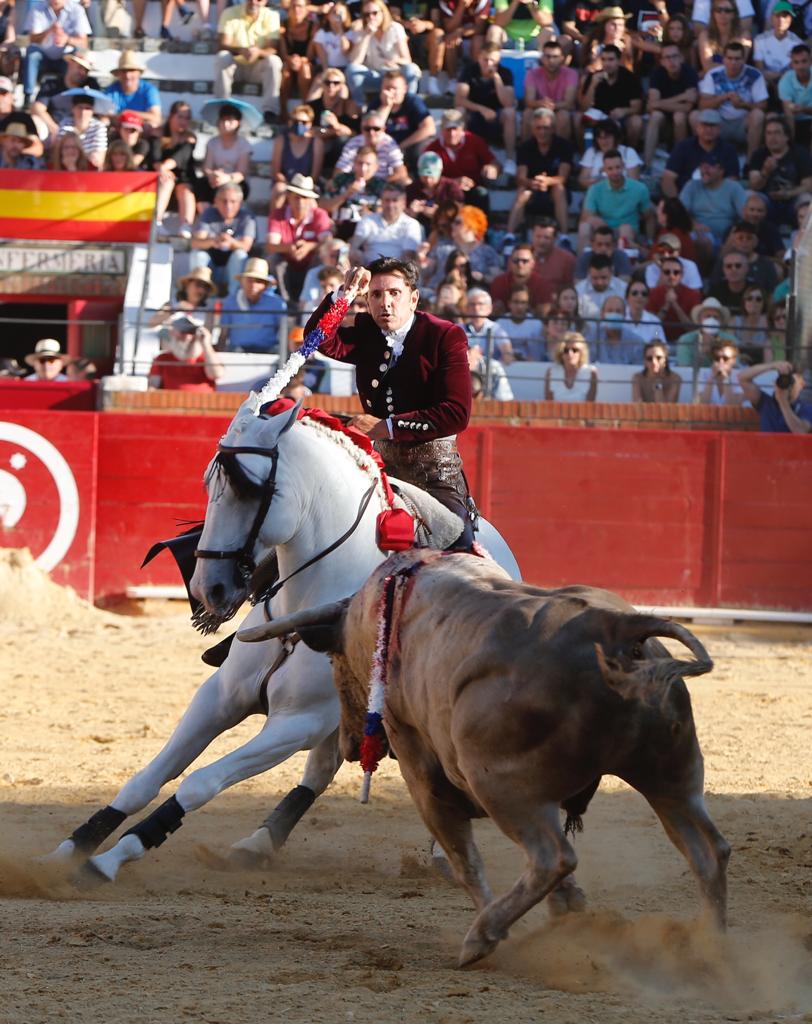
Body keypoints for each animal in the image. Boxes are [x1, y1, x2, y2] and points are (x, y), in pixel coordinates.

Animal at [47, 399, 521, 883]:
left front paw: (111, 858)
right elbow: (146, 778)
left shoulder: (296, 723)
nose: (207, 588)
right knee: (320, 773)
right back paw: (257, 843)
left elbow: (200, 782)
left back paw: (448, 854)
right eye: (209, 485)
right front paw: (72, 849)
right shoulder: (221, 696)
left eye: (249, 489)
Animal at [239, 549, 730, 968]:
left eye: (333, 659)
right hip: (672, 776)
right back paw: (712, 948)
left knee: (552, 857)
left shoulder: (419, 766)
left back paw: (481, 935)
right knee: (709, 850)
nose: (346, 743)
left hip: (505, 788)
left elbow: (464, 859)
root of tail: (616, 627)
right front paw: (569, 908)